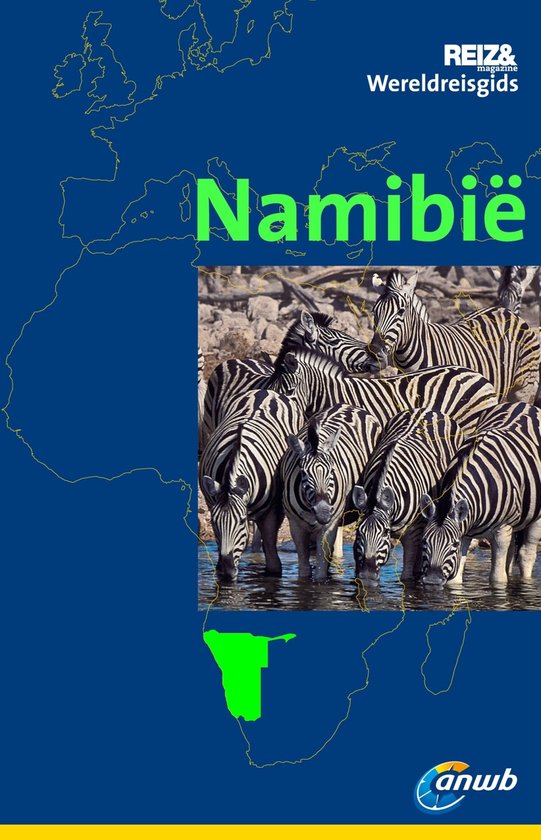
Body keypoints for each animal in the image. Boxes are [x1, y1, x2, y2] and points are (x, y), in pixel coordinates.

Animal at [199, 389, 303, 580]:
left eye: (241, 520)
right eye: (213, 522)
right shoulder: (212, 503)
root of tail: (265, 391)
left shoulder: (272, 512)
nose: (226, 572)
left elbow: (273, 560)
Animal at [281, 405, 381, 581]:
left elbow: (320, 573)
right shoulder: (295, 525)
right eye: (303, 473)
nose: (323, 514)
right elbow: (304, 571)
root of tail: (348, 405)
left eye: (331, 471)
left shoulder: (328, 526)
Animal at [351, 409, 465, 583]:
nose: (368, 576)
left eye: (385, 532)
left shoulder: (413, 534)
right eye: (359, 532)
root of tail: (427, 409)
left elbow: (407, 577)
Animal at [419, 402, 541, 586]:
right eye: (424, 541)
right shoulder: (465, 531)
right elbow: (455, 581)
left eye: (453, 544)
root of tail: (524, 404)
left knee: (526, 554)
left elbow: (497, 579)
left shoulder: (501, 531)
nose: (432, 581)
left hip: (535, 516)